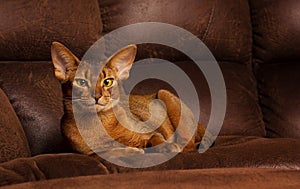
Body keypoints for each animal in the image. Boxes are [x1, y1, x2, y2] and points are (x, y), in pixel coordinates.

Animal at [51, 41, 211, 157]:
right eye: (81, 82)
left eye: (107, 82)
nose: (96, 96)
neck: (100, 123)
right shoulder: (90, 154)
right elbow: (109, 152)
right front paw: (131, 150)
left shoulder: (148, 131)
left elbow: (155, 138)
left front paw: (166, 146)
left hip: (164, 93)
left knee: (189, 146)